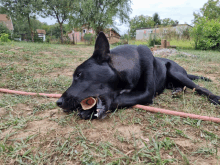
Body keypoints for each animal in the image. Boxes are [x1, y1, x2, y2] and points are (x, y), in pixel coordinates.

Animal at [56, 31, 220, 119]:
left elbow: (119, 98)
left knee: (200, 87)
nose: (58, 102)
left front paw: (89, 110)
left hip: (176, 72)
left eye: (79, 74)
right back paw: (177, 90)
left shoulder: (146, 93)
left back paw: (214, 97)